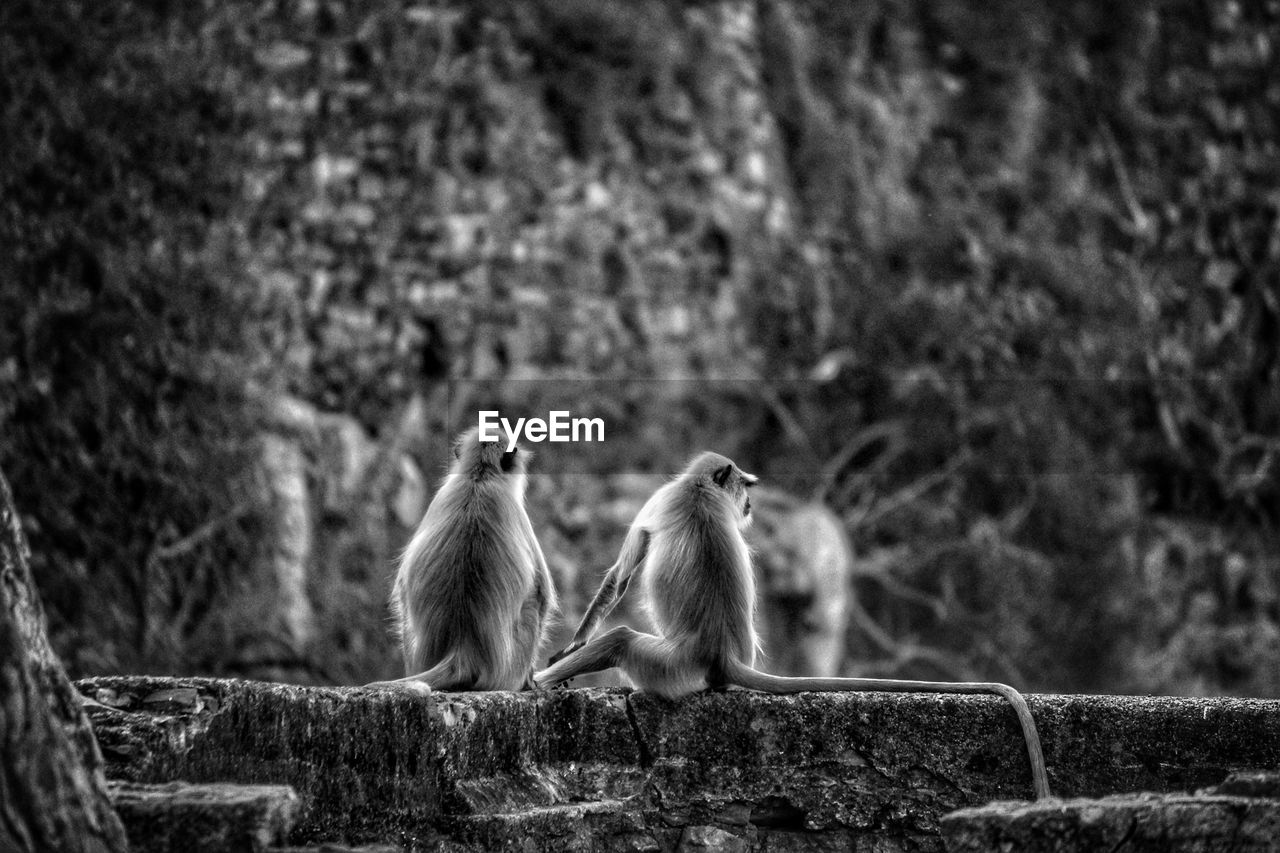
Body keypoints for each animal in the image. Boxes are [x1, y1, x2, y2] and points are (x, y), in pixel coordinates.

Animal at [366, 426, 556, 693]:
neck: (479, 477)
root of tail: (462, 650)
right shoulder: (515, 510)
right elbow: (541, 593)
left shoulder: (440, 496)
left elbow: (402, 587)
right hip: (511, 664)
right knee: (531, 606)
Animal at [534, 452, 1051, 799]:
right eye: (745, 487)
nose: (749, 503)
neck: (699, 489)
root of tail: (721, 654)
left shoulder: (659, 499)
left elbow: (620, 576)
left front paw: (570, 646)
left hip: (670, 666)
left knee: (622, 639)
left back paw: (537, 681)